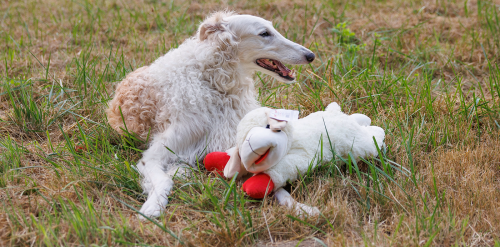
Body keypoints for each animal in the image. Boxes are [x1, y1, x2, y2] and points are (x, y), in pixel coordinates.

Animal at [107, 11, 314, 218]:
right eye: (264, 33)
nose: (311, 55)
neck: (214, 82)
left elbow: (271, 182)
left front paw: (299, 207)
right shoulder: (153, 156)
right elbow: (164, 180)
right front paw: (153, 206)